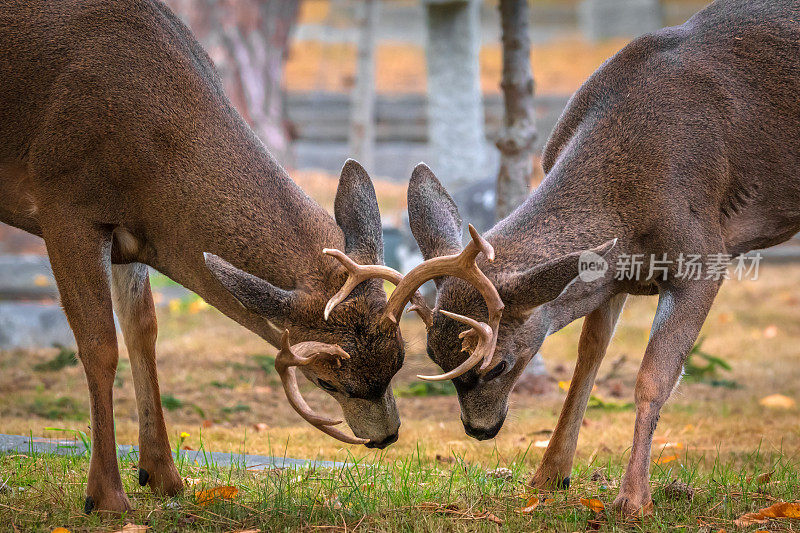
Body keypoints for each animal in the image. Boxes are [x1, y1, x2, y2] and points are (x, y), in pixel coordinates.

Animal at [0, 0, 438, 516]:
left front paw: (164, 476)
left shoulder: (131, 233)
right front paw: (106, 496)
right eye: (329, 382)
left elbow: (143, 331)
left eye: (399, 360)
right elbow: (98, 344)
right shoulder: (62, 201)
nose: (386, 437)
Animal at [324, 0, 800, 516]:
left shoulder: (704, 255)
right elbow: (586, 362)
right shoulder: (614, 274)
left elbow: (653, 378)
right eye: (433, 355)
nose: (478, 430)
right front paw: (550, 474)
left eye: (498, 366)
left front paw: (633, 498)